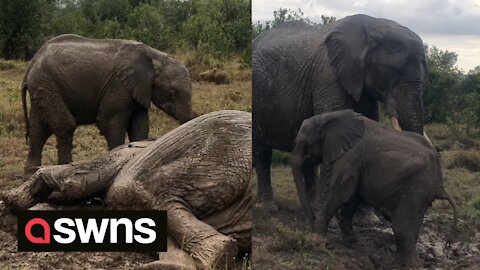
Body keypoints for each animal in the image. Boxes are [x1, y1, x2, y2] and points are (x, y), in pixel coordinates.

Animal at [20, 33, 193, 176]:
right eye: (171, 93)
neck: (154, 55)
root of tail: (31, 63)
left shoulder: (139, 89)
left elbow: (139, 126)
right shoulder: (119, 85)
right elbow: (110, 123)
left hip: (42, 88)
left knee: (38, 132)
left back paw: (30, 177)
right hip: (47, 84)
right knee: (65, 126)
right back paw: (63, 168)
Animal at [290, 110, 460, 268]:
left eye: (304, 145)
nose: (309, 223)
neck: (330, 117)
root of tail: (440, 185)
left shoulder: (350, 155)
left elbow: (343, 192)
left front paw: (317, 237)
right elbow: (352, 196)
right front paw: (351, 241)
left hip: (417, 188)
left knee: (401, 226)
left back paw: (403, 266)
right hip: (421, 192)